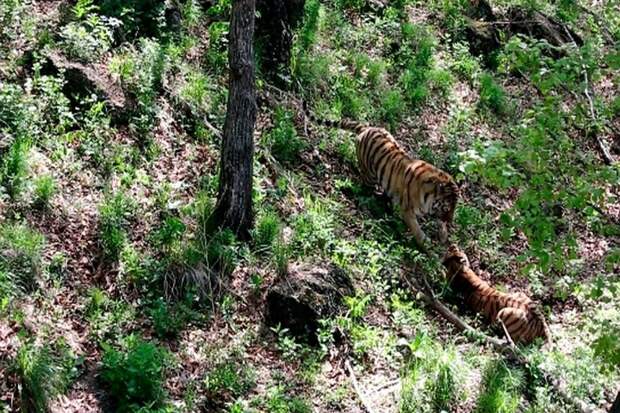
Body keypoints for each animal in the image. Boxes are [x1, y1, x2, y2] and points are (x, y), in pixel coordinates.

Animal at [306, 107, 460, 248]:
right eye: (447, 207)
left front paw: (443, 236)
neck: (428, 196)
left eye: (455, 207)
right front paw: (425, 243)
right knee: (364, 186)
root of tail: (366, 128)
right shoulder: (407, 210)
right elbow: (416, 228)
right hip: (370, 174)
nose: (451, 222)